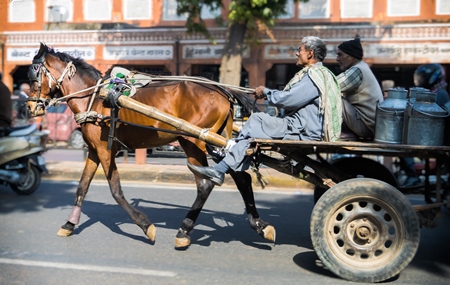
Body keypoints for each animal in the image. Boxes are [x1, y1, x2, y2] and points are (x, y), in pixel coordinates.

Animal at [29, 43, 274, 247]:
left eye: (33, 75)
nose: (30, 107)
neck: (95, 97)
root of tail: (222, 91)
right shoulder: (94, 150)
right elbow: (82, 186)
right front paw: (69, 224)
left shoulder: (106, 151)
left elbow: (116, 190)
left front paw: (146, 226)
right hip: (217, 141)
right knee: (240, 178)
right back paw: (259, 225)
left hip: (193, 140)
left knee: (206, 183)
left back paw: (185, 231)